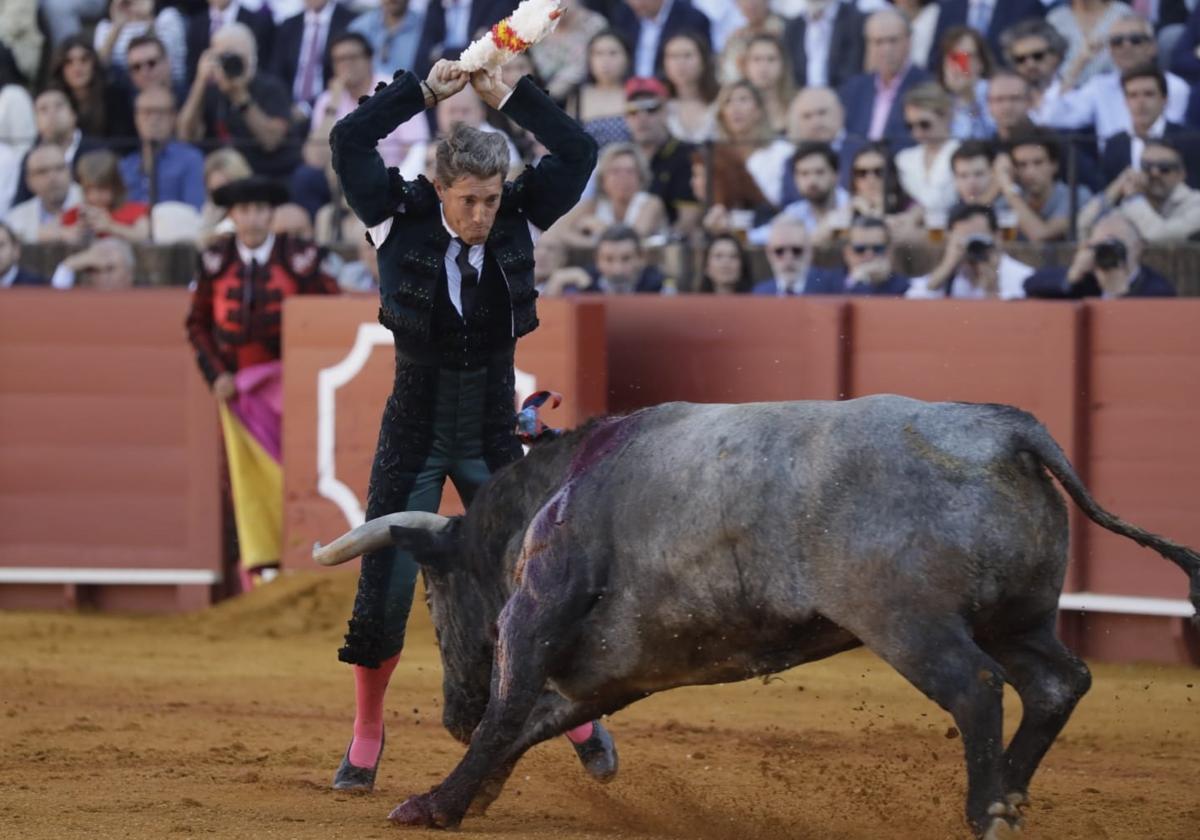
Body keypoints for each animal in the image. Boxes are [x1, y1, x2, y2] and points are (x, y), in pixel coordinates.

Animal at [312, 396, 1200, 835]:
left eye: (434, 596)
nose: (452, 716)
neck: (552, 493)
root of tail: (1008, 431)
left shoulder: (537, 608)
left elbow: (510, 710)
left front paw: (433, 804)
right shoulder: (621, 669)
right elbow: (534, 722)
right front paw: (473, 792)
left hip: (910, 623)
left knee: (977, 689)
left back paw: (987, 814)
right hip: (1019, 617)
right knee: (1057, 682)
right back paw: (1010, 794)